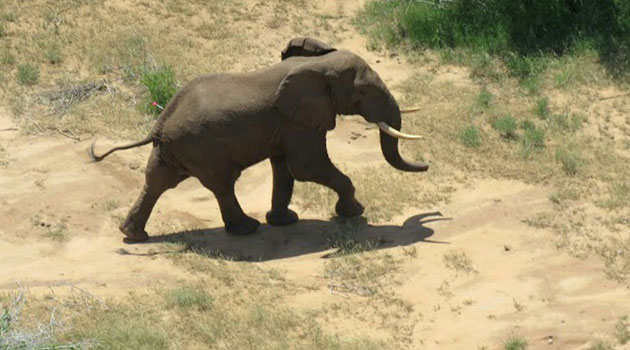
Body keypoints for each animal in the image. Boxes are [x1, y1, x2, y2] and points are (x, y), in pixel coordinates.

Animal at [91, 37, 430, 242]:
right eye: (361, 93)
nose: (427, 164)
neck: (316, 65)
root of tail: (160, 124)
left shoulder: (288, 123)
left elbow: (285, 169)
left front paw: (285, 221)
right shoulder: (300, 121)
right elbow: (307, 166)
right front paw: (355, 213)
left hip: (173, 150)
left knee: (157, 181)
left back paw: (133, 235)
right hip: (201, 149)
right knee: (222, 185)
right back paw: (246, 229)